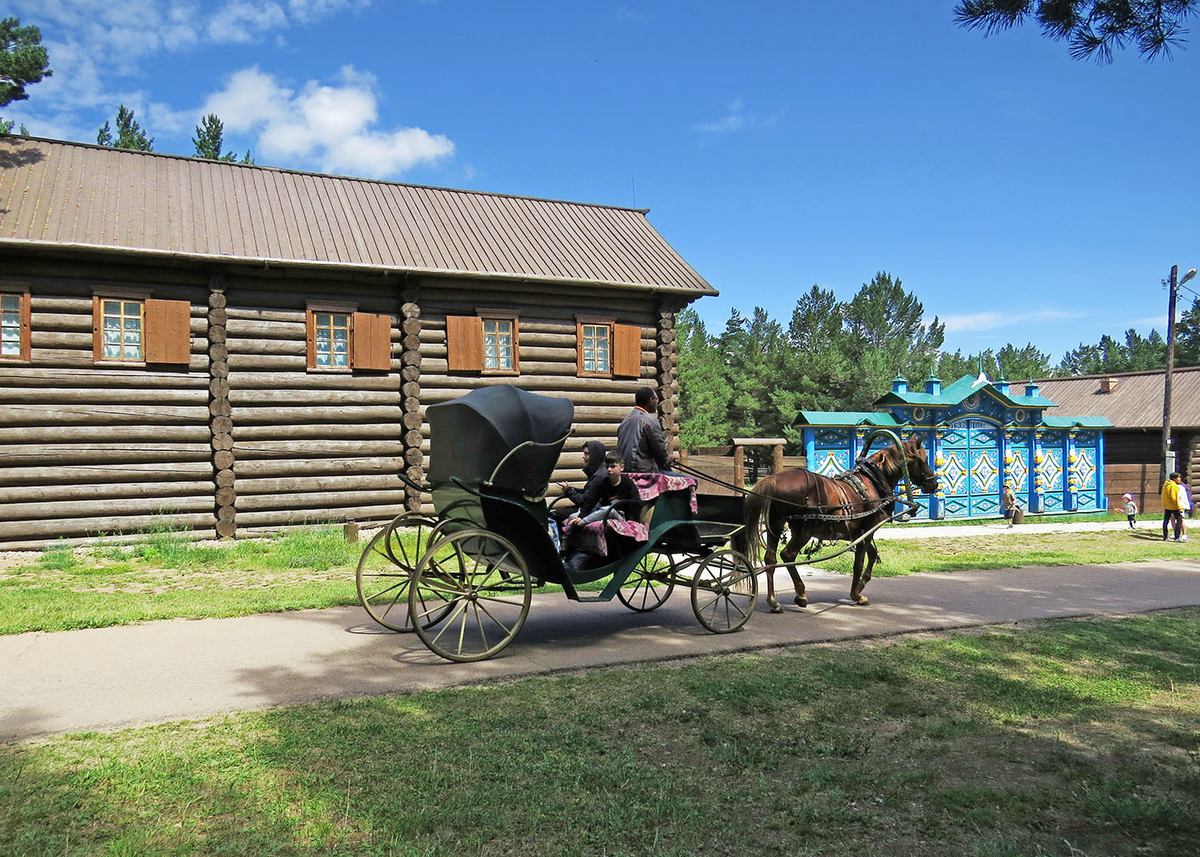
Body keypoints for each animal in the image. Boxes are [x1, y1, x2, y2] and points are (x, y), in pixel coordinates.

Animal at [729, 436, 936, 609]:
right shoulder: (867, 530)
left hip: (775, 525)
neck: (872, 481)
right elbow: (860, 562)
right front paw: (856, 594)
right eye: (923, 459)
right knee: (788, 555)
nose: (933, 484)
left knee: (770, 559)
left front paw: (861, 584)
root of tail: (774, 478)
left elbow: (872, 554)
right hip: (803, 531)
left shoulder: (861, 533)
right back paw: (801, 593)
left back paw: (773, 601)